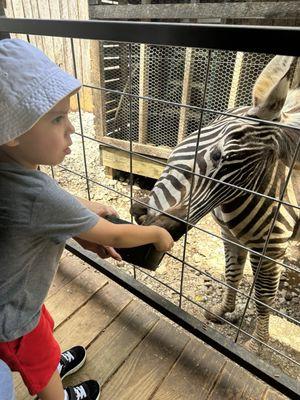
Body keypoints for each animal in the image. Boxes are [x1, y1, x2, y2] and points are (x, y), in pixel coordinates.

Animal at [132, 55, 300, 350]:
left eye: (249, 181)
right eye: (217, 155)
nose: (170, 230)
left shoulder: (271, 247)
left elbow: (264, 296)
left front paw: (257, 346)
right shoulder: (229, 233)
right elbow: (232, 273)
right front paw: (223, 312)